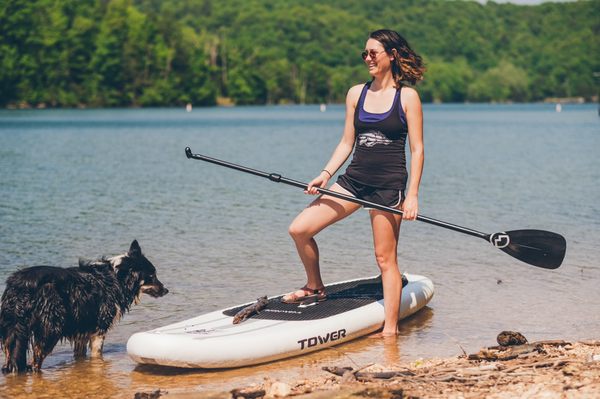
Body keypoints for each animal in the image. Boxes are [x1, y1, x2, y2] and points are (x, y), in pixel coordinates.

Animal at [0, 239, 166, 374]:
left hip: (12, 330)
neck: (118, 278)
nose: (166, 290)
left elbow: (80, 356)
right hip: (51, 328)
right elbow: (97, 354)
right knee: (35, 361)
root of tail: (22, 285)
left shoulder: (82, 331)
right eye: (152, 276)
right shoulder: (99, 330)